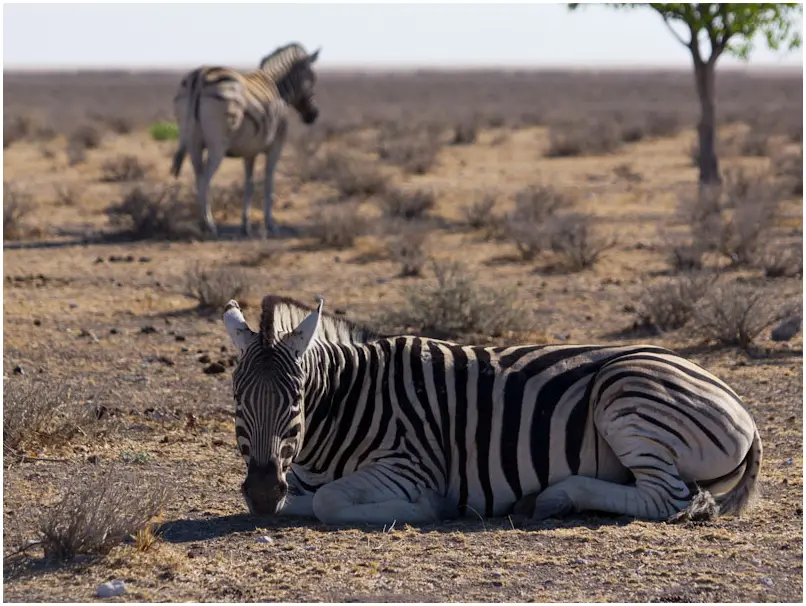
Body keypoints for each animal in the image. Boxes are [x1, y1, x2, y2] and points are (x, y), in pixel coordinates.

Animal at [171, 42, 321, 236]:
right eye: (313, 78)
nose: (314, 115)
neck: (279, 89)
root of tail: (200, 76)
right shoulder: (276, 145)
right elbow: (268, 182)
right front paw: (270, 224)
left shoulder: (249, 151)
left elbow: (248, 184)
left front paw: (245, 225)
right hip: (217, 145)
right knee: (205, 180)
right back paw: (209, 225)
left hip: (192, 142)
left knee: (197, 177)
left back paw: (200, 222)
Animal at [222, 295, 762, 526]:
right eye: (237, 401)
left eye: (296, 400)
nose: (263, 492)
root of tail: (740, 407)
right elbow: (306, 499)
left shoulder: (412, 464)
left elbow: (329, 503)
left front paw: (430, 508)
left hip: (625, 394)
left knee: (664, 498)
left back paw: (555, 498)